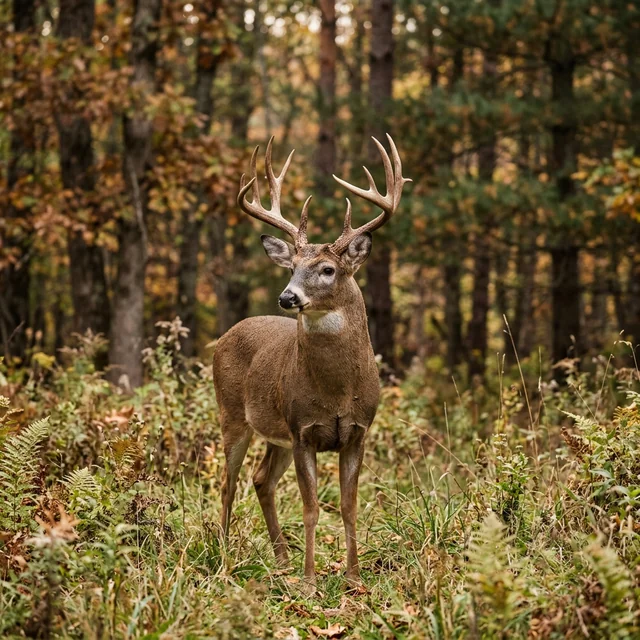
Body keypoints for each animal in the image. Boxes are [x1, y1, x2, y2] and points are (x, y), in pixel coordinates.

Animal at [212, 134, 410, 590]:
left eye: (327, 269)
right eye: (293, 266)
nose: (288, 297)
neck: (336, 391)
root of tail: (223, 338)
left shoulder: (357, 431)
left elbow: (350, 507)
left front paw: (353, 577)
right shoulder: (303, 429)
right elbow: (312, 508)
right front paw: (310, 581)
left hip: (275, 434)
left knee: (261, 480)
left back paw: (281, 559)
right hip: (233, 415)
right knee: (228, 483)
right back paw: (226, 557)